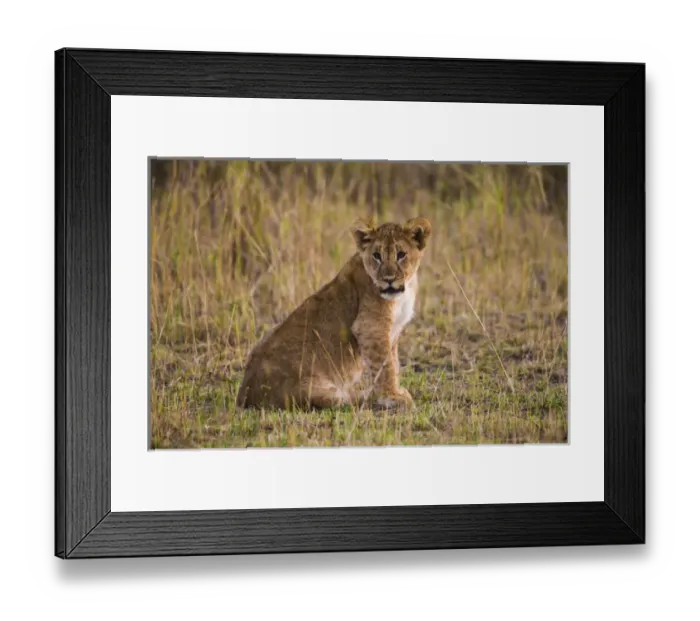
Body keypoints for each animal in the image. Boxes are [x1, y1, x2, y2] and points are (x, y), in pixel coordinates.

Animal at [235, 217, 432, 411]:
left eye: (401, 254)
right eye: (377, 255)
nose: (388, 279)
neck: (405, 290)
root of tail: (245, 394)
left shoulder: (392, 332)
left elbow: (394, 363)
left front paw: (394, 392)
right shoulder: (371, 327)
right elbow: (386, 366)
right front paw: (392, 396)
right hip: (313, 389)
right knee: (342, 399)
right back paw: (368, 396)